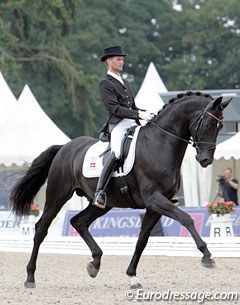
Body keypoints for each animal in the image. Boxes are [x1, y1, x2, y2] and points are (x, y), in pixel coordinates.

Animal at [9, 91, 231, 288]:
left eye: (221, 126)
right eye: (209, 124)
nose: (205, 160)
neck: (160, 143)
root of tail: (64, 148)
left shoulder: (155, 206)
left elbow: (142, 240)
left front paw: (132, 276)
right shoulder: (155, 199)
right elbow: (186, 219)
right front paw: (207, 255)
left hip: (101, 203)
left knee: (79, 222)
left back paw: (95, 263)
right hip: (58, 195)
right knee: (41, 229)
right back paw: (30, 277)